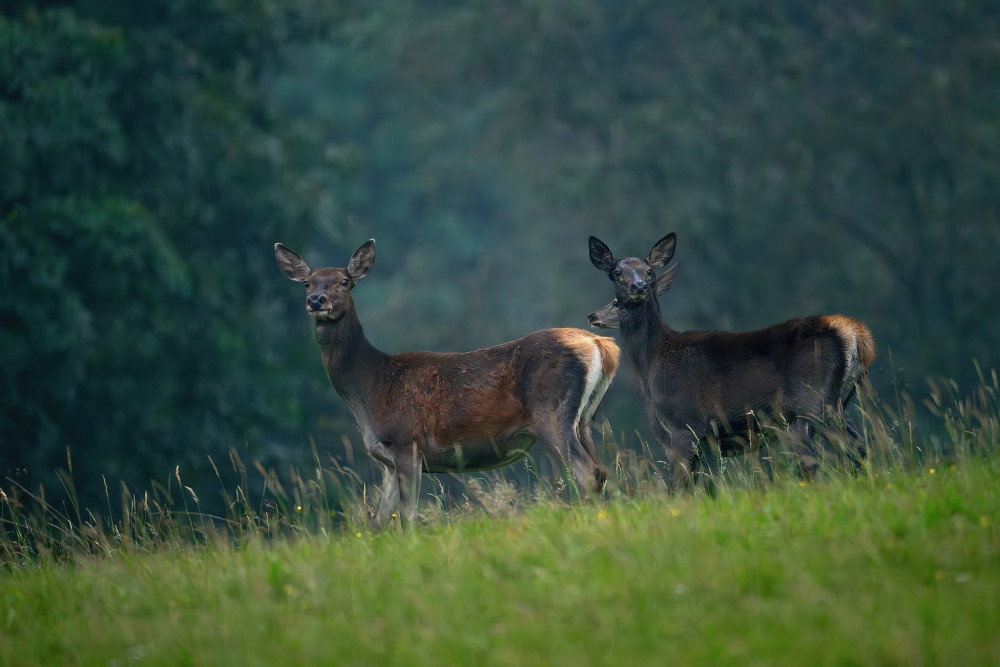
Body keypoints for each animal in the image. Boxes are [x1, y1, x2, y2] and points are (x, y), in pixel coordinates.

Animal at [274, 240, 616, 528]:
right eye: (307, 282)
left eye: (345, 281)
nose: (316, 300)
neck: (370, 386)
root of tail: (600, 344)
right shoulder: (388, 462)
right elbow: (377, 522)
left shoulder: (406, 442)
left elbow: (409, 517)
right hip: (584, 419)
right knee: (600, 470)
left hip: (551, 413)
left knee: (587, 472)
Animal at [584, 235, 876, 490]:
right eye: (616, 272)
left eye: (648, 271)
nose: (639, 287)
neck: (651, 365)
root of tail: (854, 332)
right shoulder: (709, 437)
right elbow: (710, 486)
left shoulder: (684, 427)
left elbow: (678, 488)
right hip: (828, 405)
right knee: (854, 447)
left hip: (814, 402)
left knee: (847, 449)